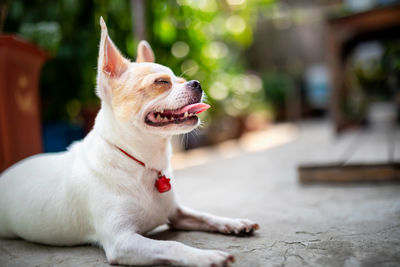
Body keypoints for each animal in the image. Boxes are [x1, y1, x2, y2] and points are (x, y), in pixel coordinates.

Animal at [0, 17, 258, 266]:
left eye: (181, 78)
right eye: (161, 82)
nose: (196, 83)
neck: (142, 163)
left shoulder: (176, 214)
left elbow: (205, 215)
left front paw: (234, 223)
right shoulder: (122, 241)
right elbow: (171, 245)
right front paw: (206, 256)